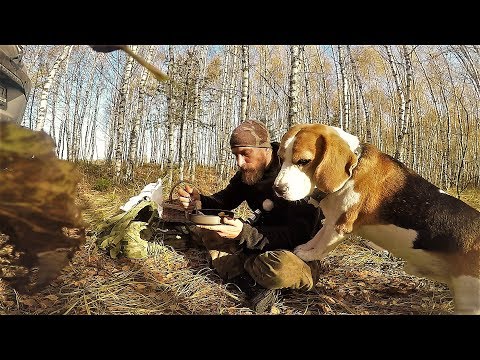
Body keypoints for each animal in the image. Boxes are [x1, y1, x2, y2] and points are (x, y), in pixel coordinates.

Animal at [274, 124, 480, 316]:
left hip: (468, 298)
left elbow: (322, 245)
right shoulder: (332, 219)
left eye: (303, 161)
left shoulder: (340, 225)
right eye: (280, 158)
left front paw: (307, 255)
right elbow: (317, 238)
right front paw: (304, 249)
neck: (354, 167)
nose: (277, 189)